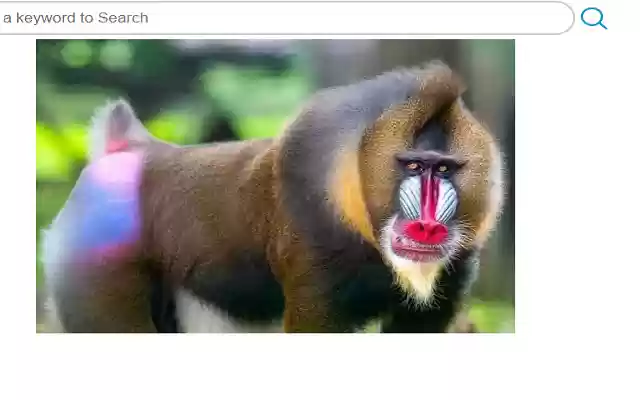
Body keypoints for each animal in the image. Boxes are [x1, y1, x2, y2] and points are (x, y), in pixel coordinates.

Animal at [41, 61, 504, 333]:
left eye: (443, 169)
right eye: (413, 166)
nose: (427, 226)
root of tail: (127, 149)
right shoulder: (316, 277)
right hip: (95, 276)